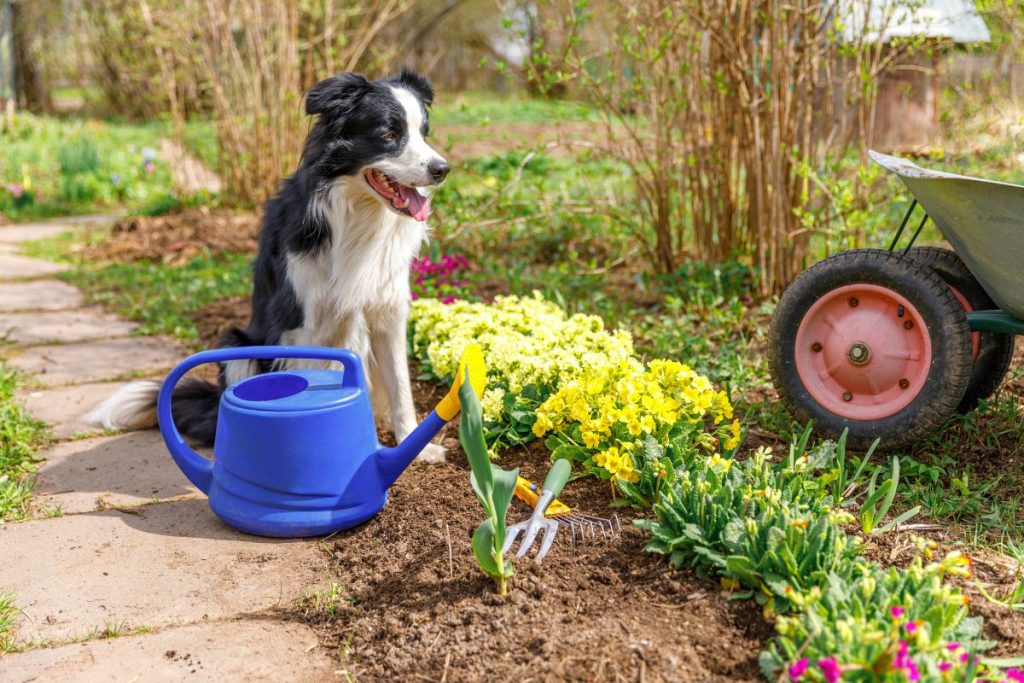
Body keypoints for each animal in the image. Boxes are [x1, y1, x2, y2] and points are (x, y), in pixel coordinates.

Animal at [90, 68, 450, 464]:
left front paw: (418, 447)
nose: (442, 169)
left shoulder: (386, 311)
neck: (357, 215)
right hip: (236, 344)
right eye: (388, 133)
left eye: (424, 132)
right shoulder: (302, 324)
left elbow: (401, 387)